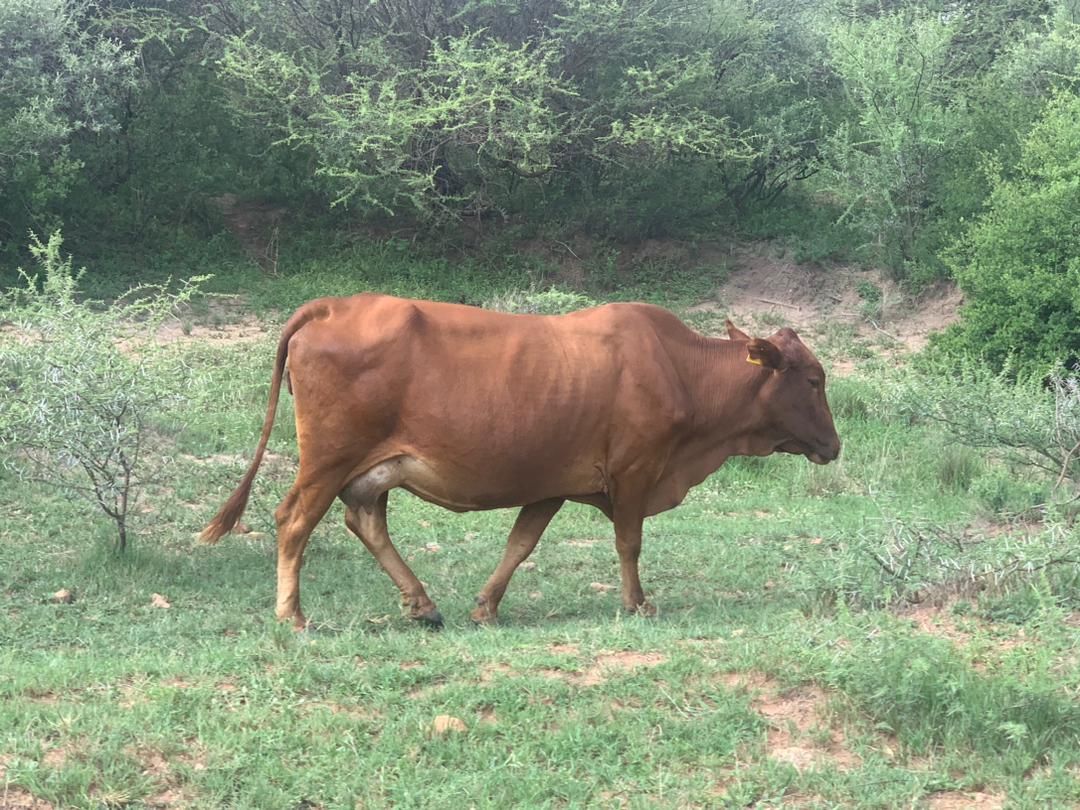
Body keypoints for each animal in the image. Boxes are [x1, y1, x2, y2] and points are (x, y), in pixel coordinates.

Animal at [204, 295, 842, 630]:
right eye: (814, 380)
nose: (834, 446)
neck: (680, 368)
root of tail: (334, 306)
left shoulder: (550, 482)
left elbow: (521, 544)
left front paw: (486, 605)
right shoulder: (635, 471)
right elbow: (629, 542)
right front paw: (637, 603)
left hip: (371, 471)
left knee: (365, 522)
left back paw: (422, 603)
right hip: (328, 459)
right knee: (294, 521)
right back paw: (292, 614)